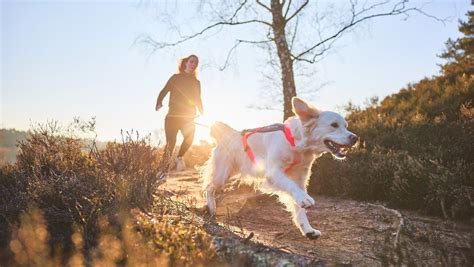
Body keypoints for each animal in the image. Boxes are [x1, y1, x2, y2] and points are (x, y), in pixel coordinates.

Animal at [202, 97, 358, 240]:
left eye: (346, 125)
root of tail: (229, 133)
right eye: (334, 125)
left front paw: (308, 229)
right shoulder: (274, 172)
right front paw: (304, 199)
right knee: (209, 187)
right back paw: (211, 208)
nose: (355, 138)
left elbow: (299, 208)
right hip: (222, 174)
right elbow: (291, 187)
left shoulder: (301, 178)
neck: (297, 144)